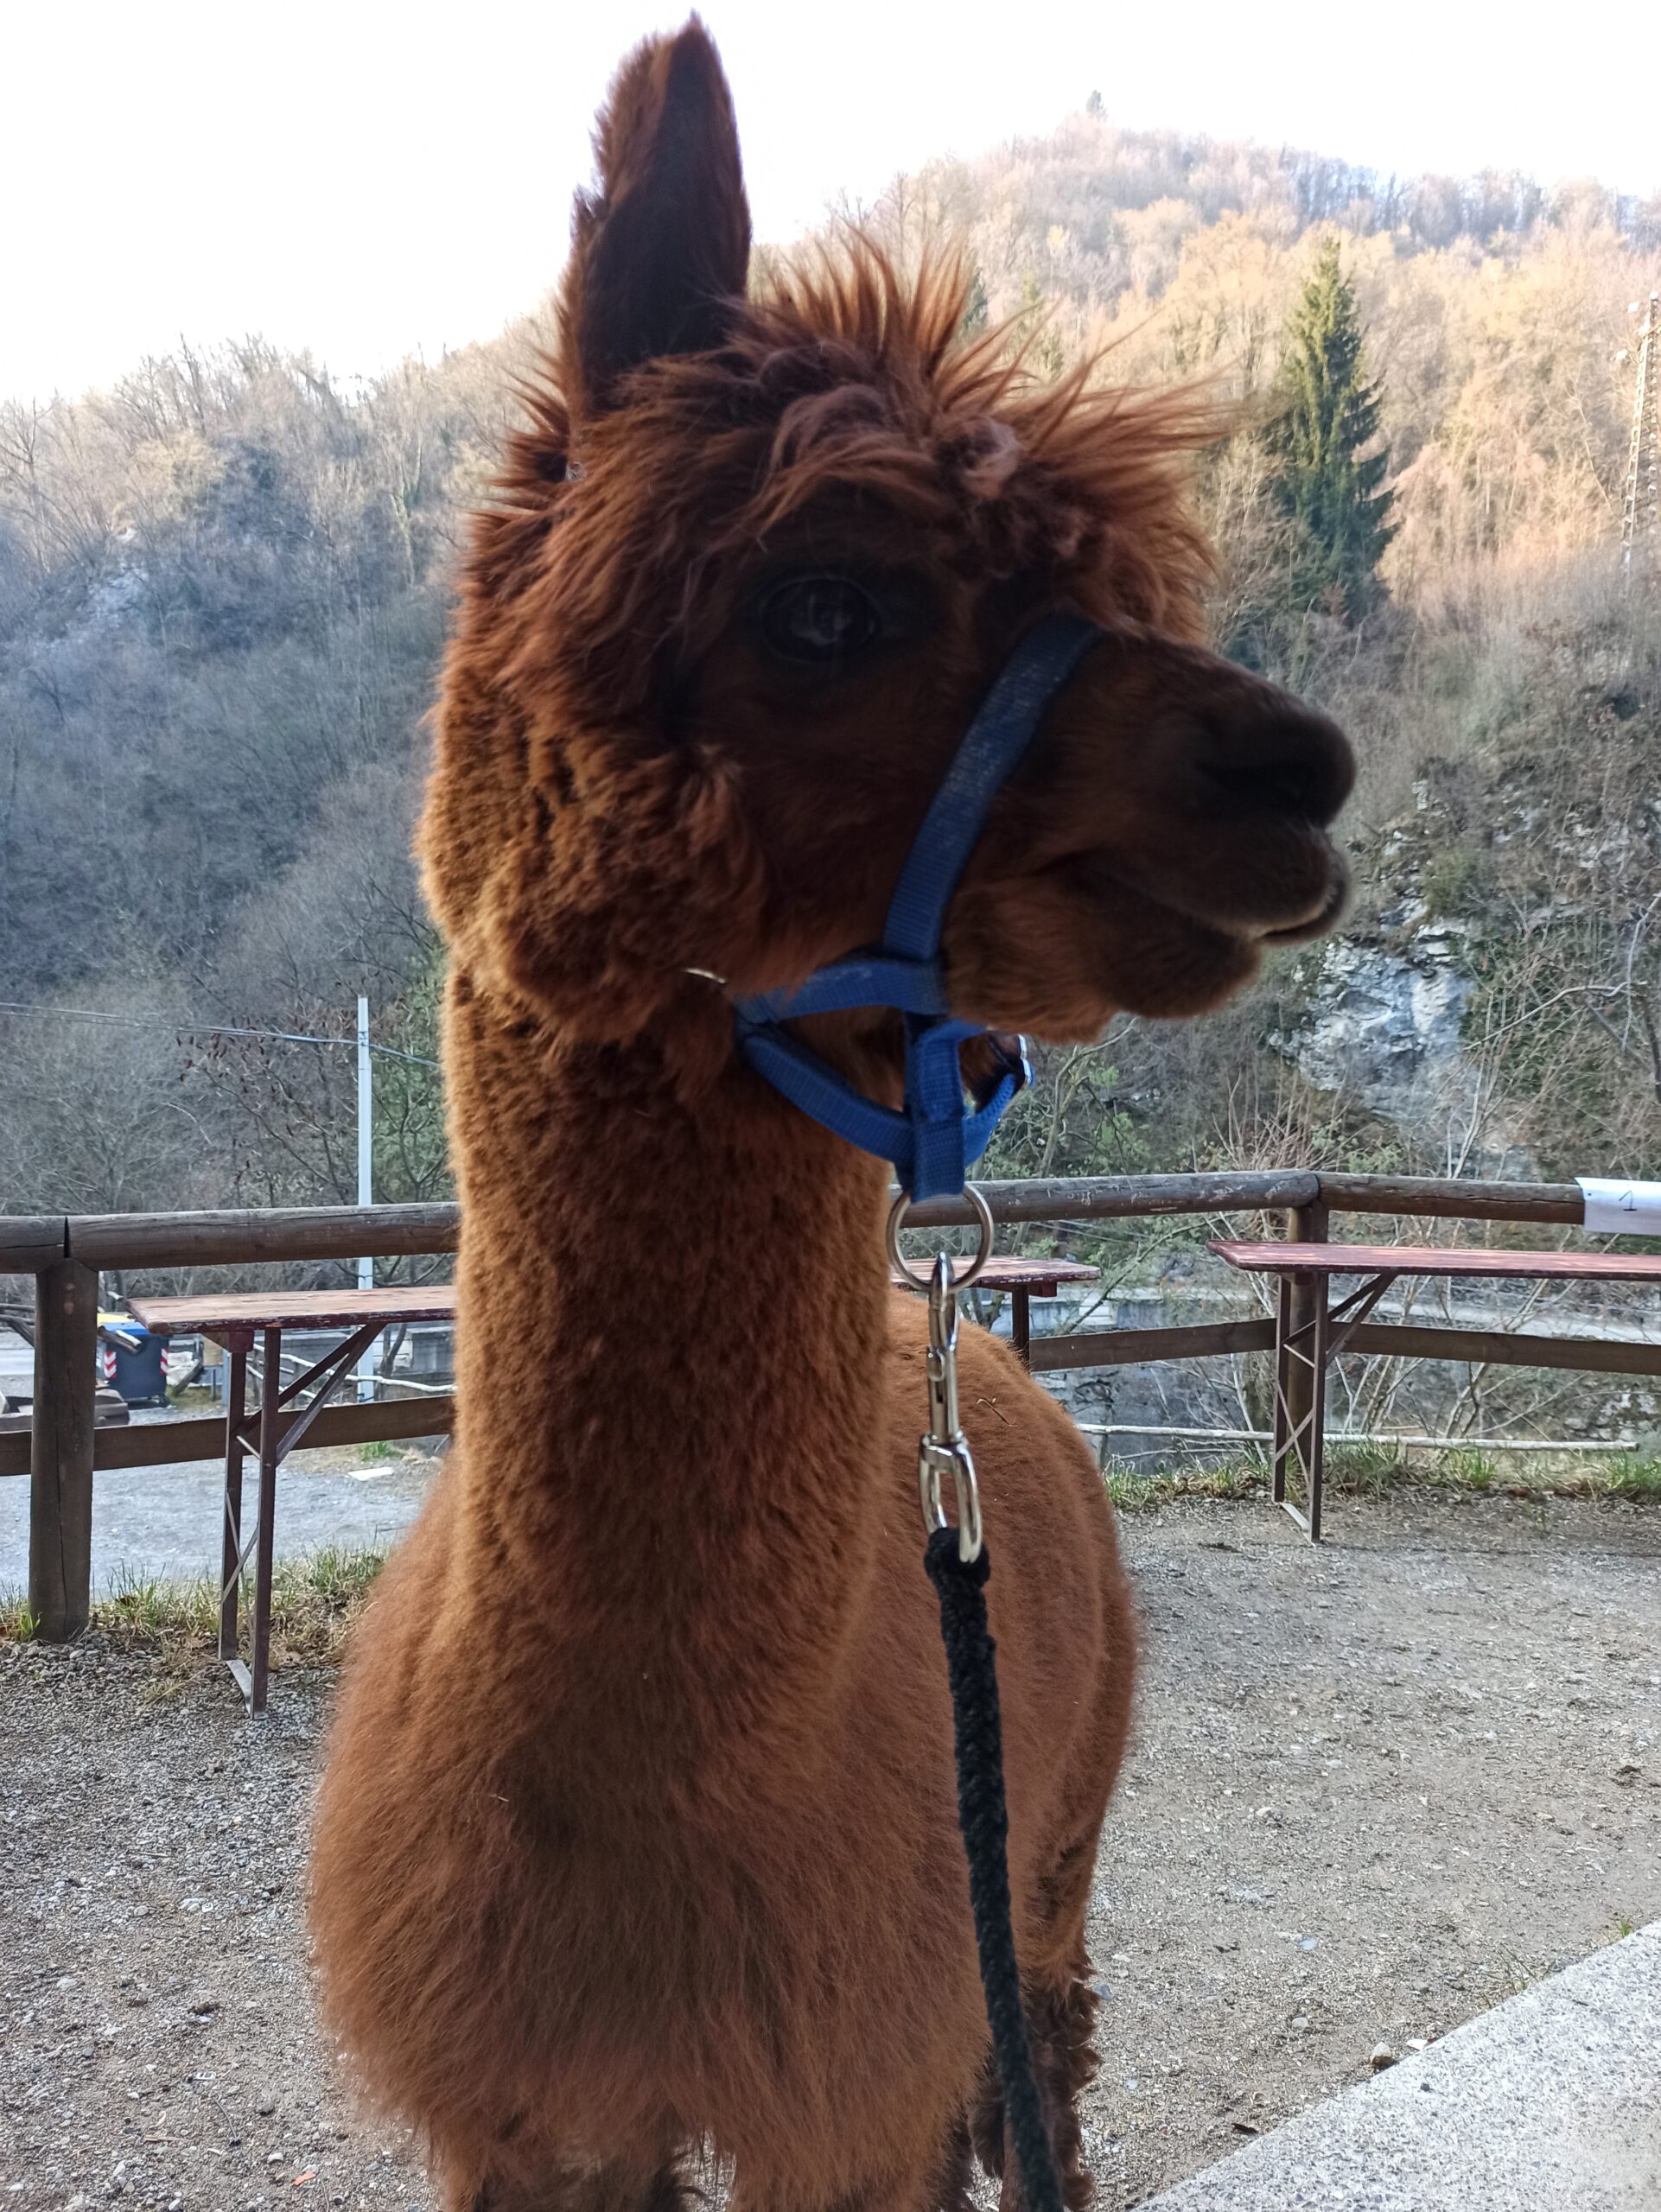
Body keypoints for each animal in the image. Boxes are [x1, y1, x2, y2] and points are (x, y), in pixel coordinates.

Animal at [308, 23, 1353, 2212]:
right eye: (821, 602)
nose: (1298, 769)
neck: (646, 1842)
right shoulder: (524, 2119)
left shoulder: (839, 2086)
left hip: (1049, 1830)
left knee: (1042, 2051)